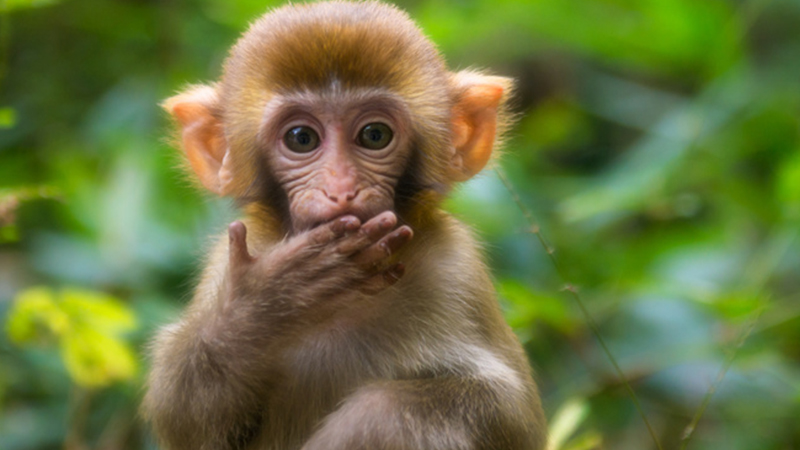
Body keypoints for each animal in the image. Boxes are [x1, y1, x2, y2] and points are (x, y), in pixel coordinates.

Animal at [142, 0, 544, 450]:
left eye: (374, 135)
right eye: (301, 138)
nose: (341, 189)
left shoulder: (456, 268)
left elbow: (511, 412)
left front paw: (369, 423)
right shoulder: (226, 263)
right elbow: (183, 415)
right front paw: (270, 301)